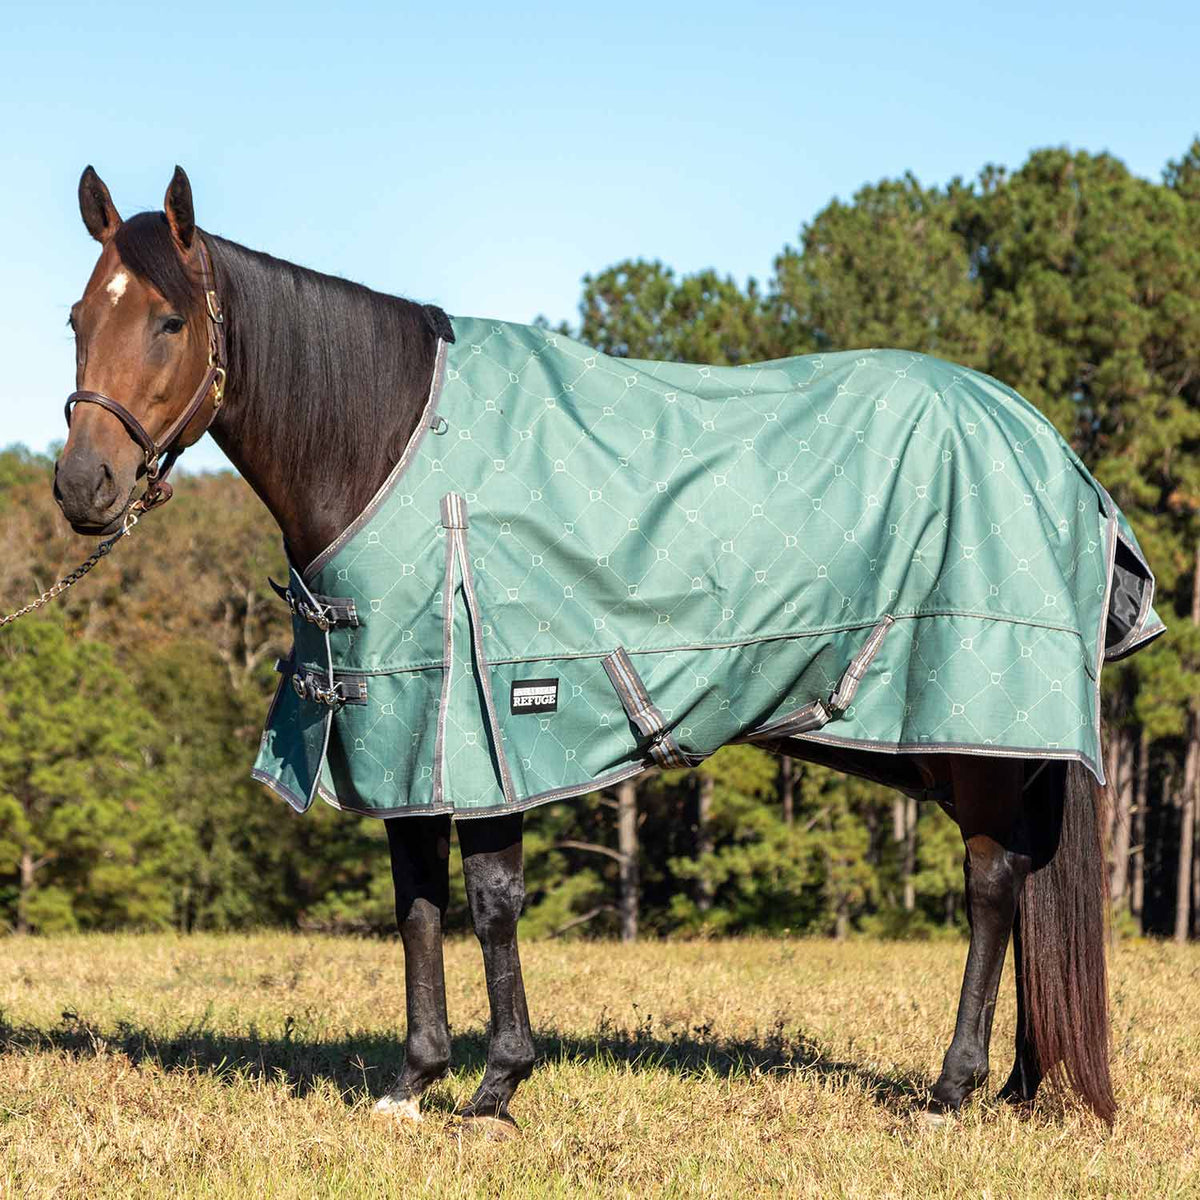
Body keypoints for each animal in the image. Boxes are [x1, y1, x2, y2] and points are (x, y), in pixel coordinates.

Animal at [54, 164, 1150, 1132]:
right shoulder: (403, 736)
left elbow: (491, 903)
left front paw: (497, 1087)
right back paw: (1020, 1084)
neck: (390, 445)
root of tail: (1054, 450)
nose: (80, 486)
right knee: (1021, 882)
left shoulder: (488, 729)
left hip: (979, 732)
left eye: (169, 321)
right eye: (76, 319)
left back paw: (952, 1089)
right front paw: (413, 1083)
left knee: (993, 888)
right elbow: (417, 905)